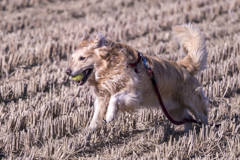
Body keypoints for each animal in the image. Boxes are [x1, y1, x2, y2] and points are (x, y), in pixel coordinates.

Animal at [65, 23, 208, 131]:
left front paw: (110, 115)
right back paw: (187, 134)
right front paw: (90, 130)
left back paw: (206, 133)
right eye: (72, 58)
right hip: (172, 108)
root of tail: (183, 66)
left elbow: (114, 98)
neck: (109, 69)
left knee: (202, 117)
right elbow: (97, 114)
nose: (67, 71)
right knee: (187, 119)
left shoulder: (133, 92)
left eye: (82, 58)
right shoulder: (102, 96)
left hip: (191, 101)